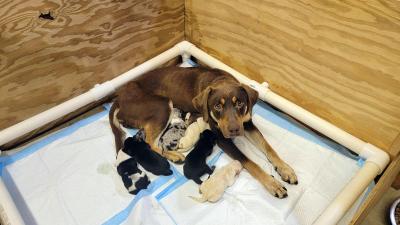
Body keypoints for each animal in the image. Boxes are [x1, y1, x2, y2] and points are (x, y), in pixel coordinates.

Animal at [109, 66, 296, 198]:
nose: (234, 130)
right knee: (150, 141)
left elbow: (268, 147)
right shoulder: (222, 138)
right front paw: (272, 184)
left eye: (240, 103)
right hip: (162, 105)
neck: (220, 80)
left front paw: (285, 169)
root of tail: (119, 97)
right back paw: (173, 156)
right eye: (217, 106)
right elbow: (250, 162)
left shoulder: (247, 124)